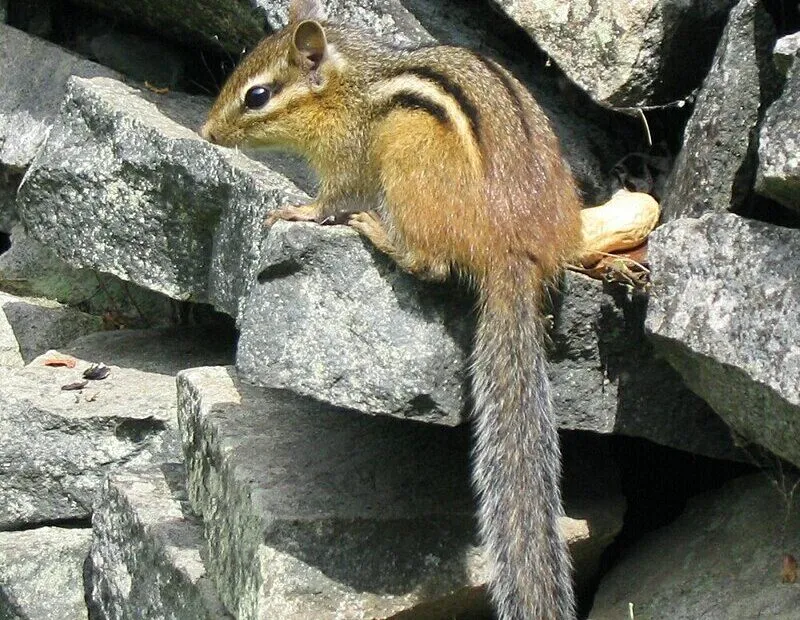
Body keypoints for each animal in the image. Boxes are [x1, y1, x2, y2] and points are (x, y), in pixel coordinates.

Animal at [201, 0, 583, 618]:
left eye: (256, 96)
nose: (206, 132)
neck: (349, 86)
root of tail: (513, 249)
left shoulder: (349, 159)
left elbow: (329, 199)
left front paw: (297, 211)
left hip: (405, 166)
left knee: (430, 263)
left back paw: (378, 232)